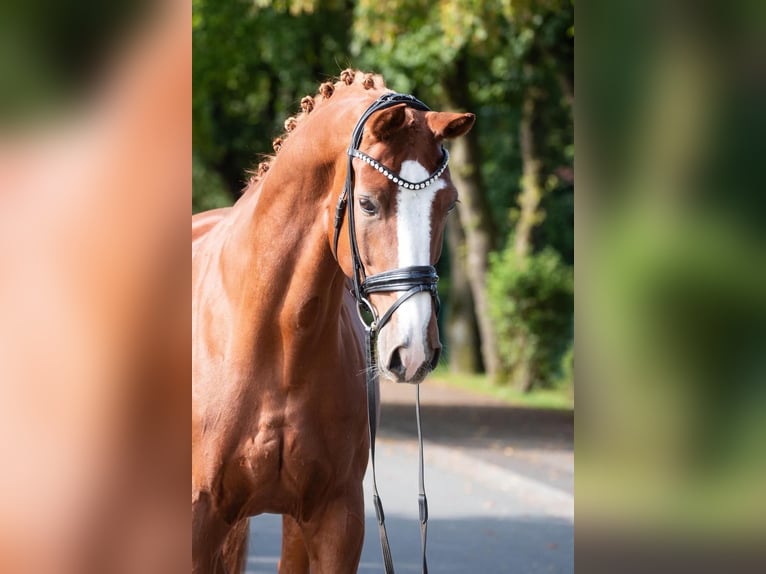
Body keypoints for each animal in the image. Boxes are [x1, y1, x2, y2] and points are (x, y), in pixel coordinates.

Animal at [192, 72, 474, 574]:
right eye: (367, 203)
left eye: (449, 204)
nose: (415, 351)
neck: (277, 347)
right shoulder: (197, 521)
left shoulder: (336, 520)